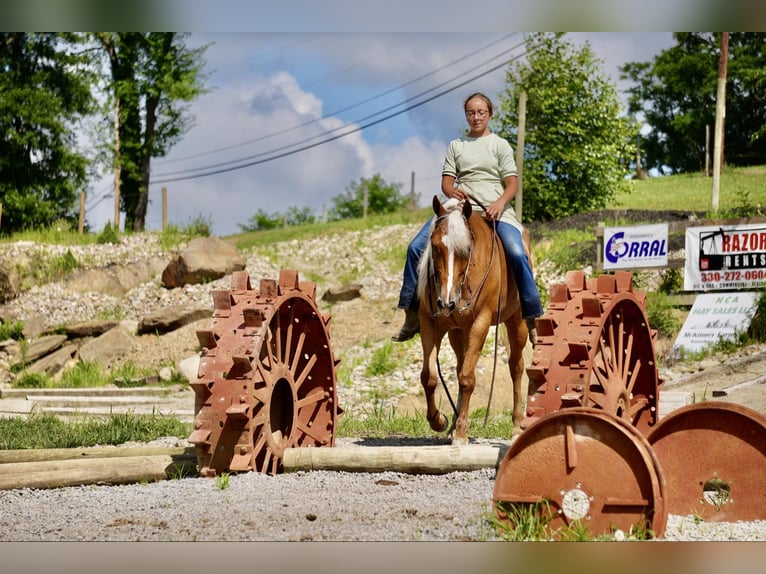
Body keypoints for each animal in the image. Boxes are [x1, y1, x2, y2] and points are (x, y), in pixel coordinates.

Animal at [416, 196, 532, 444]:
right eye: (435, 246)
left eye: (466, 249)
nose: (446, 303)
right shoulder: (430, 323)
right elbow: (429, 376)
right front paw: (440, 421)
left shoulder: (480, 323)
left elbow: (467, 378)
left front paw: (461, 431)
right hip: (457, 332)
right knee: (460, 364)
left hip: (516, 322)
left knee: (516, 366)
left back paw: (517, 425)